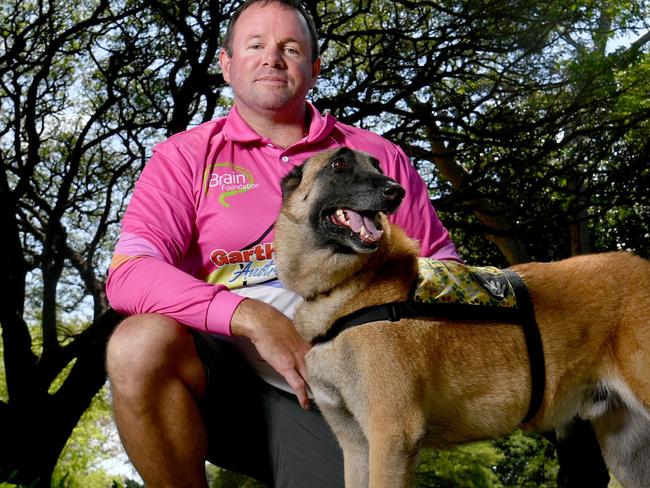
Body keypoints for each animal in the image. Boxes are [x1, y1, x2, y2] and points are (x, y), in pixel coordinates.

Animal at [274, 148, 648, 488]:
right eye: (339, 164)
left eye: (378, 167)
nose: (396, 191)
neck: (350, 286)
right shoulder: (357, 448)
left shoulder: (392, 436)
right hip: (627, 449)